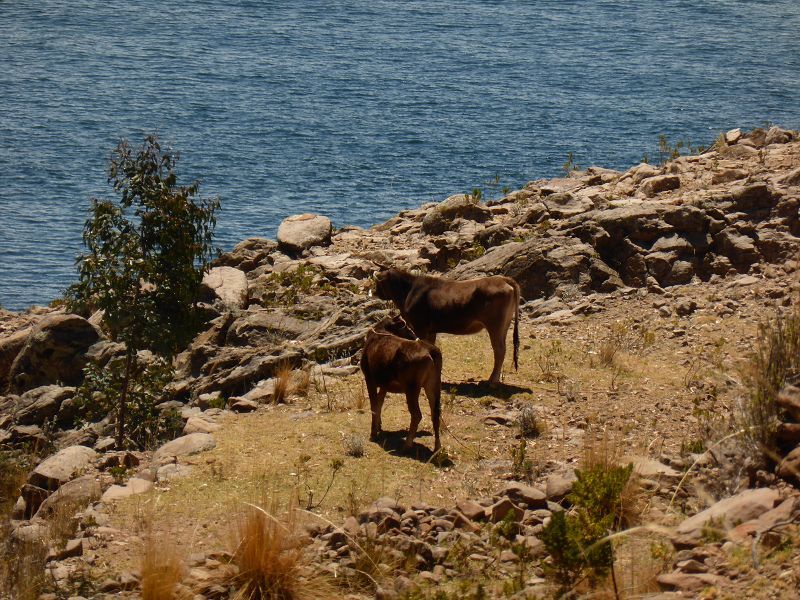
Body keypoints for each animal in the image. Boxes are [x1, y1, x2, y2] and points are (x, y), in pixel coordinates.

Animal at [362, 316, 444, 452]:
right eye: (406, 326)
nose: (415, 336)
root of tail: (431, 350)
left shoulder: (370, 379)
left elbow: (374, 406)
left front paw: (373, 434)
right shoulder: (384, 385)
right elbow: (379, 403)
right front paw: (379, 426)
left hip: (412, 388)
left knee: (417, 414)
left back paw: (407, 444)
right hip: (433, 384)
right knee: (435, 412)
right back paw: (437, 447)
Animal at [374, 268, 520, 382]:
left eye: (377, 282)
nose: (375, 292)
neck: (408, 292)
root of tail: (503, 279)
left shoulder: (420, 327)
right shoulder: (431, 330)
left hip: (495, 325)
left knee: (499, 350)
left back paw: (492, 380)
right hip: (504, 325)